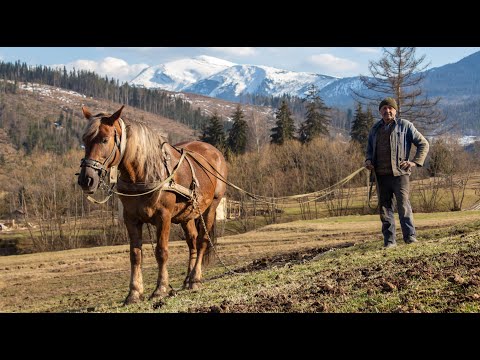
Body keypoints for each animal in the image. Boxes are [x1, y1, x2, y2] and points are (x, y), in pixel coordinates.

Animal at [78, 104, 228, 304]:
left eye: (104, 139)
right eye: (85, 139)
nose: (86, 180)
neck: (143, 173)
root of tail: (215, 152)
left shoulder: (163, 216)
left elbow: (161, 252)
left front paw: (160, 289)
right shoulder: (131, 218)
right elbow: (135, 255)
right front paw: (134, 293)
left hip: (212, 206)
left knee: (202, 241)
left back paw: (195, 279)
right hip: (187, 215)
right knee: (192, 242)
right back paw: (188, 279)